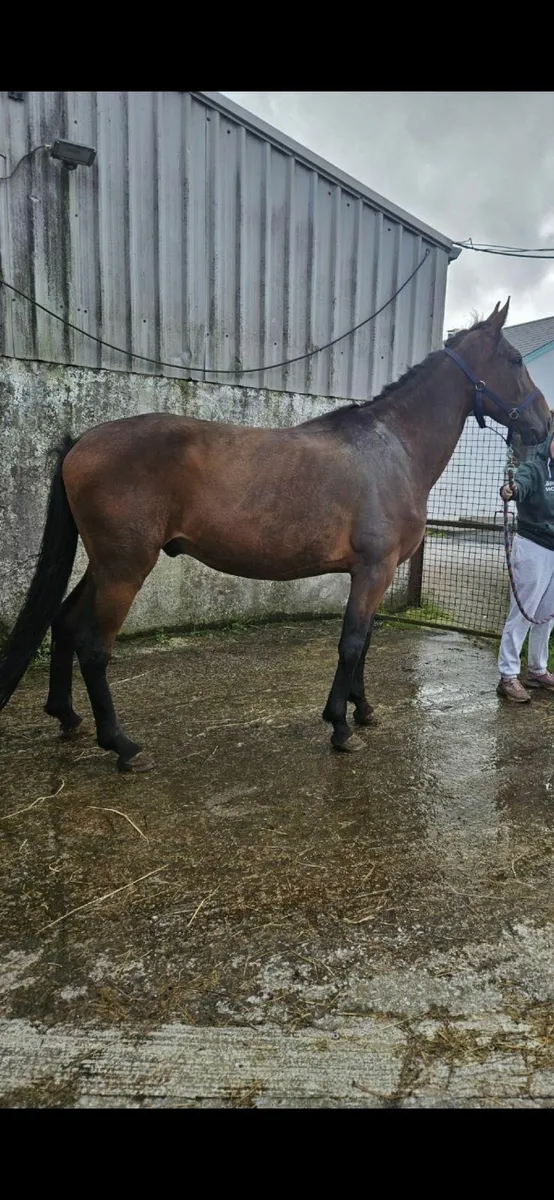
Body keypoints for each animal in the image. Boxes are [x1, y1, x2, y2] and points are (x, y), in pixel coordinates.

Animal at [0, 299, 549, 773]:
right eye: (515, 359)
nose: (544, 423)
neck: (392, 448)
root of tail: (81, 442)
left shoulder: (375, 574)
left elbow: (366, 642)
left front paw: (363, 709)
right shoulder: (373, 570)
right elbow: (352, 643)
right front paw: (340, 727)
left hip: (106, 565)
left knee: (64, 622)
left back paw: (67, 717)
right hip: (125, 569)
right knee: (94, 647)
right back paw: (123, 745)